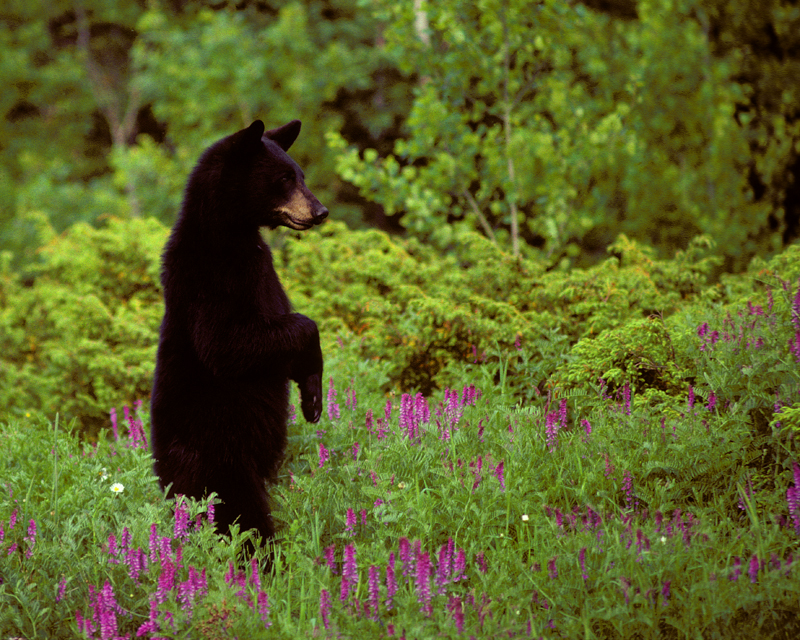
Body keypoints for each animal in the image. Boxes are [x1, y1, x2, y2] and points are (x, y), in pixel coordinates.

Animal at [150, 119, 327, 546]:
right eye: (284, 179)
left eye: (300, 174)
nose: (320, 211)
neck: (231, 234)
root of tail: (164, 481)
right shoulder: (213, 280)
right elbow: (230, 344)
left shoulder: (261, 270)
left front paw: (312, 397)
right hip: (219, 463)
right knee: (242, 518)